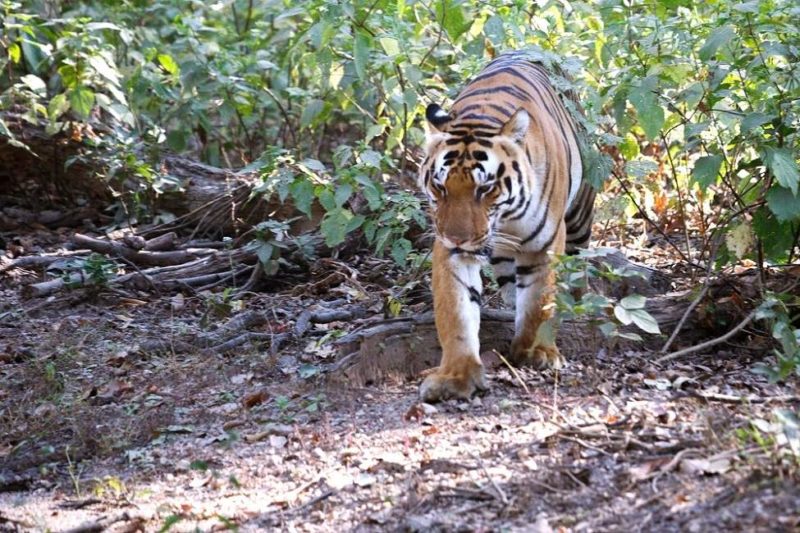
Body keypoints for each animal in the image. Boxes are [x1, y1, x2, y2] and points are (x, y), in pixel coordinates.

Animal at [418, 52, 592, 402]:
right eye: (440, 187)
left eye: (484, 188)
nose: (457, 238)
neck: (504, 216)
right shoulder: (451, 252)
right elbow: (456, 311)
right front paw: (456, 375)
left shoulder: (544, 244)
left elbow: (539, 300)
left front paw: (536, 352)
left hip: (580, 216)